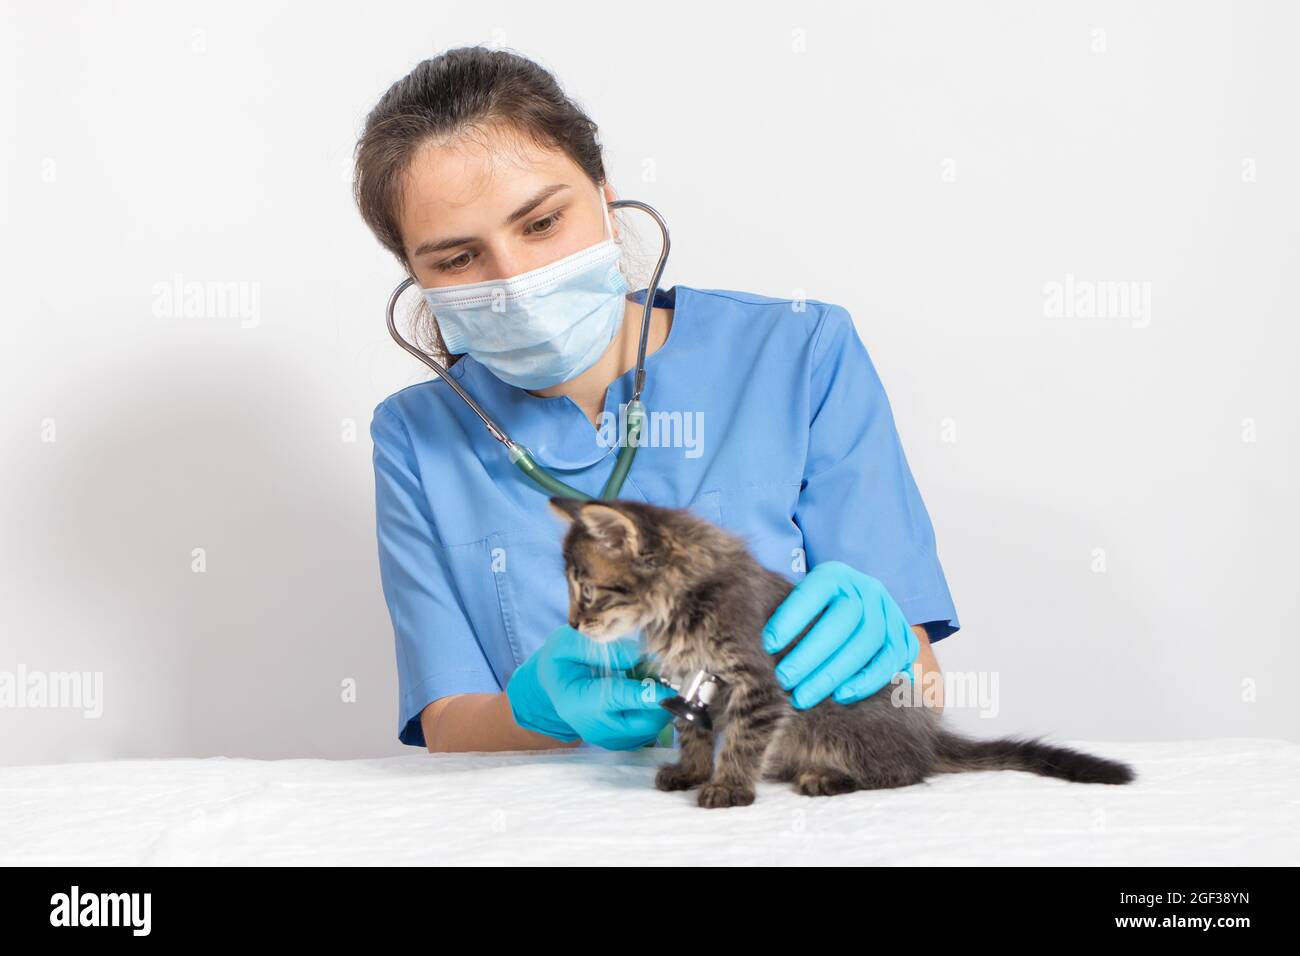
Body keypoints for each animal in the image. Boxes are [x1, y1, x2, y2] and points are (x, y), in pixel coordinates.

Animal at [543, 496, 1133, 811]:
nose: (571, 622)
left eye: (587, 590)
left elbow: (741, 741)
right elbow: (694, 731)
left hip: (844, 728)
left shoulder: (759, 683)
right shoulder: (695, 680)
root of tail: (928, 735)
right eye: (570, 590)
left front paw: (728, 785)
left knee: (906, 772)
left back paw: (827, 777)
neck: (683, 602)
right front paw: (690, 771)